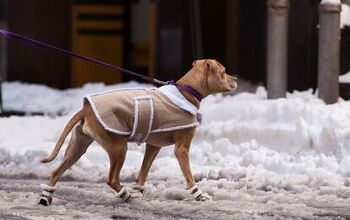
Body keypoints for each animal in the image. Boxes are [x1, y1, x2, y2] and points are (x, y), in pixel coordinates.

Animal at [39, 59, 238, 205]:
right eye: (223, 71)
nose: (235, 79)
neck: (186, 92)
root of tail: (86, 109)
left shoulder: (153, 147)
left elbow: (143, 172)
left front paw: (138, 192)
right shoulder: (181, 149)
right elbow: (189, 176)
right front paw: (199, 195)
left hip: (77, 147)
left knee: (55, 172)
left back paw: (45, 196)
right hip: (118, 147)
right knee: (111, 179)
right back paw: (125, 195)